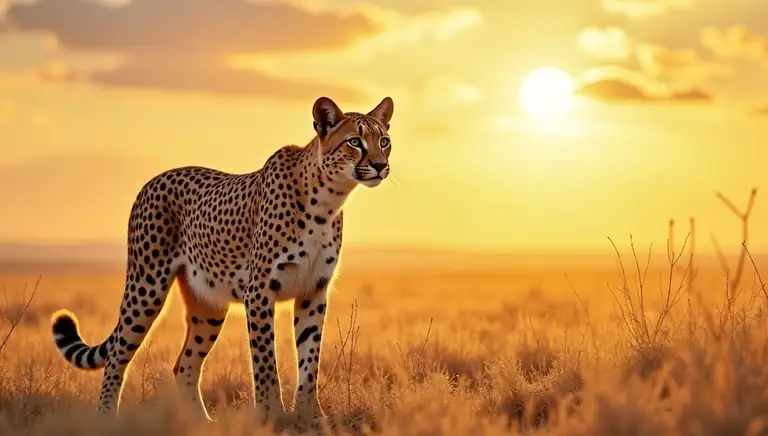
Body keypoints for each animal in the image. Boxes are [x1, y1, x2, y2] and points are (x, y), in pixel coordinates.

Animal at [50, 96, 394, 421]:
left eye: (384, 141)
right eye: (355, 141)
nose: (380, 165)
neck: (328, 199)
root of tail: (155, 179)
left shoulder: (314, 291)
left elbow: (310, 358)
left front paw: (311, 414)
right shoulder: (259, 291)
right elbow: (265, 362)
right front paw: (272, 415)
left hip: (209, 305)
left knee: (185, 365)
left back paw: (205, 423)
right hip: (146, 287)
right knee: (117, 355)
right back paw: (106, 417)